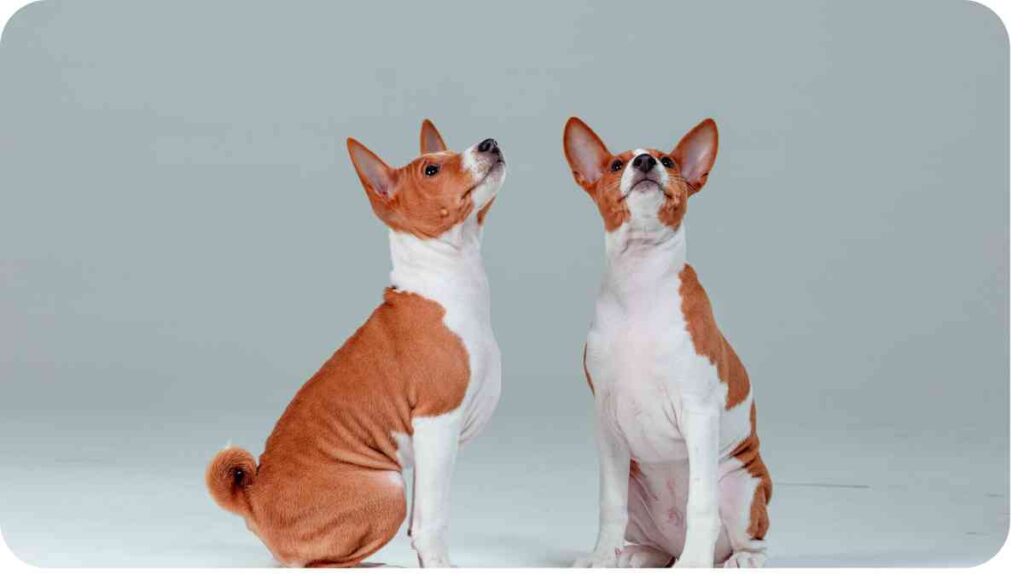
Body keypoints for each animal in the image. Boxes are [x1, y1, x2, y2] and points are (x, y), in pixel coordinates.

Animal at [201, 119, 505, 565]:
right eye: (431, 170)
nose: (489, 143)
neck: (448, 283)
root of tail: (252, 500)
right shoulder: (437, 423)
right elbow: (433, 520)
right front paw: (439, 564)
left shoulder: (428, 446)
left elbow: (419, 521)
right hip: (388, 487)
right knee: (314, 561)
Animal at [565, 115, 770, 565]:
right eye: (616, 164)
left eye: (669, 161)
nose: (644, 162)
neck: (641, 282)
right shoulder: (608, 425)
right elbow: (610, 505)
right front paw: (601, 558)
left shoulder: (699, 412)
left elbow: (701, 503)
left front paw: (695, 565)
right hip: (636, 481)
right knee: (653, 542)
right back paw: (635, 555)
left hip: (742, 485)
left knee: (749, 538)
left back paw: (733, 559)